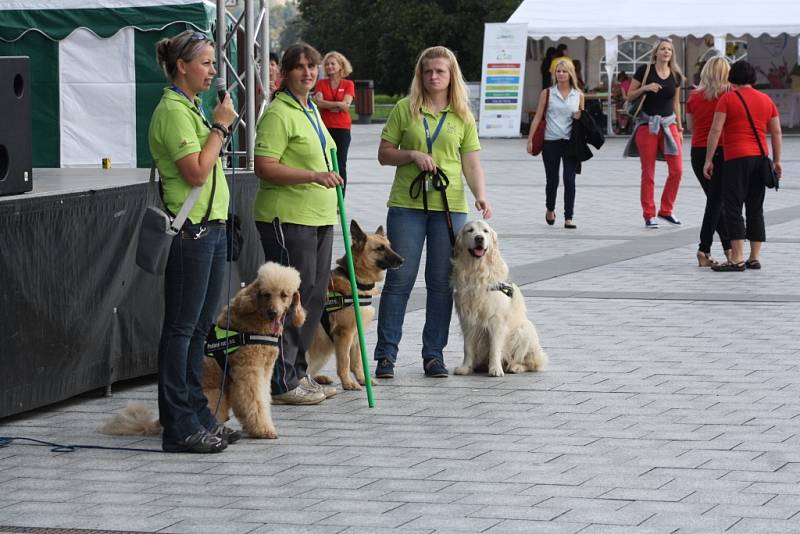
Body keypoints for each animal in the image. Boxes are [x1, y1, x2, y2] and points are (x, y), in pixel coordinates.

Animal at [308, 220, 406, 392]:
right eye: (380, 248)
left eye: (389, 246)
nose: (402, 260)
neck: (355, 279)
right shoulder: (344, 334)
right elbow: (345, 361)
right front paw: (348, 383)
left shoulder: (356, 336)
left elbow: (357, 362)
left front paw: (362, 380)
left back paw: (318, 379)